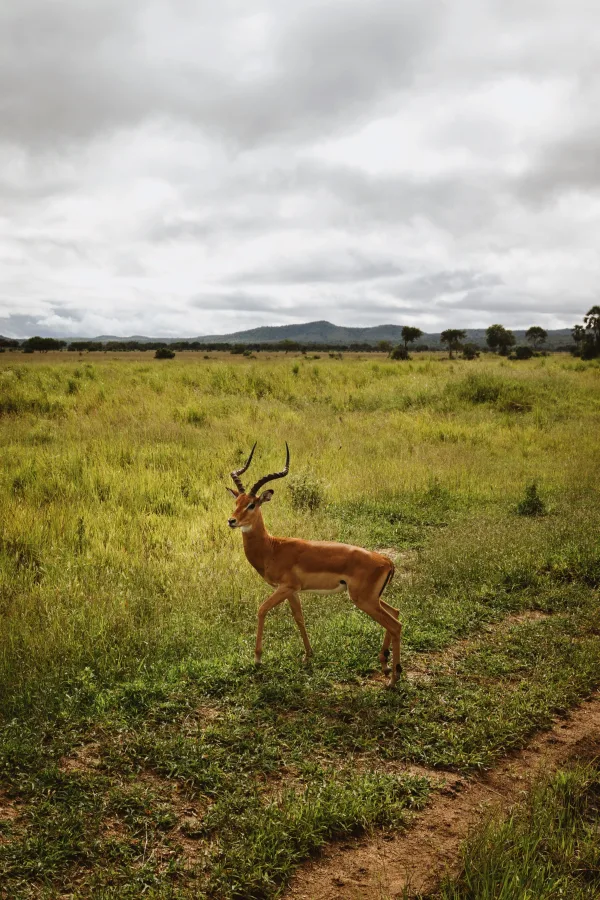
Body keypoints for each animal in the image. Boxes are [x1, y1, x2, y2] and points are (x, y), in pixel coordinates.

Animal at [226, 443, 403, 688]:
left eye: (252, 504)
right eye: (236, 502)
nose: (231, 521)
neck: (272, 548)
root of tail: (387, 561)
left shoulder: (285, 587)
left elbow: (261, 610)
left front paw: (258, 659)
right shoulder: (292, 591)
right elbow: (299, 618)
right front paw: (308, 655)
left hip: (364, 600)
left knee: (395, 625)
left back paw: (393, 679)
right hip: (371, 599)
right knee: (395, 613)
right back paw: (386, 666)